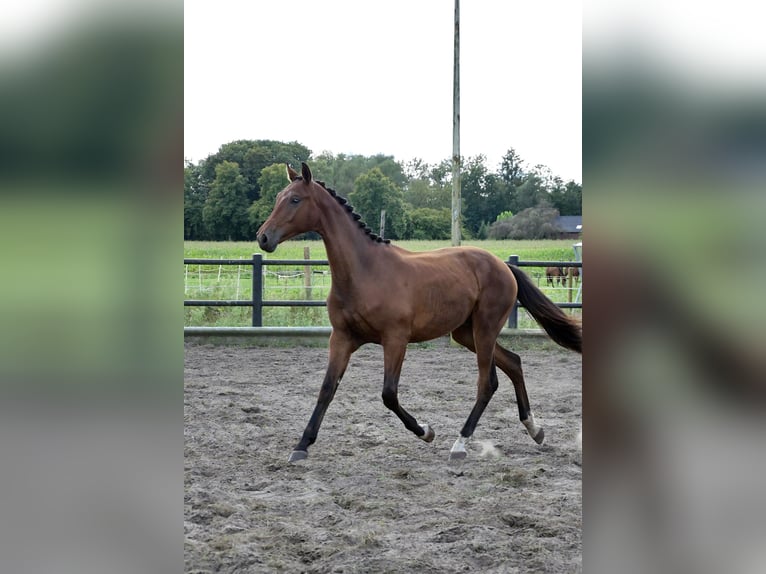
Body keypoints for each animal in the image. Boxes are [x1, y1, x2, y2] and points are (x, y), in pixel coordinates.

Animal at [258, 162, 584, 464]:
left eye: (295, 199)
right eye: (277, 197)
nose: (263, 238)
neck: (364, 272)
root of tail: (503, 265)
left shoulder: (395, 339)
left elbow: (388, 394)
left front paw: (426, 432)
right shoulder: (341, 338)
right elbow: (327, 389)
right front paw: (301, 446)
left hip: (485, 329)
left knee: (487, 382)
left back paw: (460, 444)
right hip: (465, 333)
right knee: (513, 363)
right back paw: (535, 430)